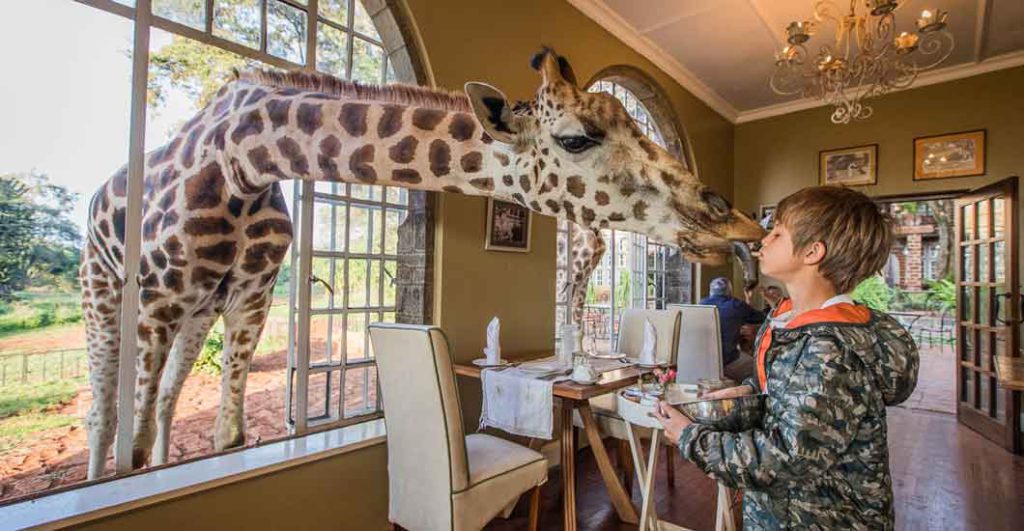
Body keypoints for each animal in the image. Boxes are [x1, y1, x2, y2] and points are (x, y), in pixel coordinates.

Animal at [80, 48, 764, 479]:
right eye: (575, 138)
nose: (739, 225)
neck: (243, 156)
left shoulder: (248, 295)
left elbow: (227, 435)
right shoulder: (157, 299)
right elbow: (129, 448)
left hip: (199, 307)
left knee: (164, 402)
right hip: (108, 291)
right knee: (104, 413)